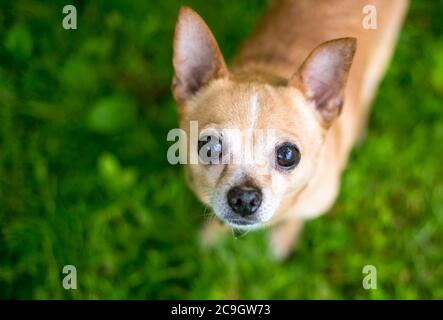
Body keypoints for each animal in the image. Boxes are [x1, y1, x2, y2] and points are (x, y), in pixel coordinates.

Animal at [172, 0, 408, 258]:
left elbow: (296, 219)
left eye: (287, 155)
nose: (244, 197)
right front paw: (213, 236)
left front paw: (283, 239)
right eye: (209, 147)